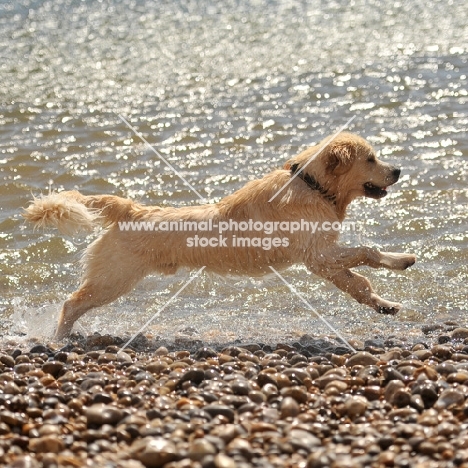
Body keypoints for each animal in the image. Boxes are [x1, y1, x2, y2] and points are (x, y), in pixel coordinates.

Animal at [23, 133, 416, 340]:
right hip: (113, 279)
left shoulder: (322, 260)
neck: (312, 185)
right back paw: (57, 340)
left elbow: (359, 284)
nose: (398, 170)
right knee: (71, 303)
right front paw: (400, 260)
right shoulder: (317, 254)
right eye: (371, 158)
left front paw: (384, 303)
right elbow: (367, 251)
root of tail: (131, 210)